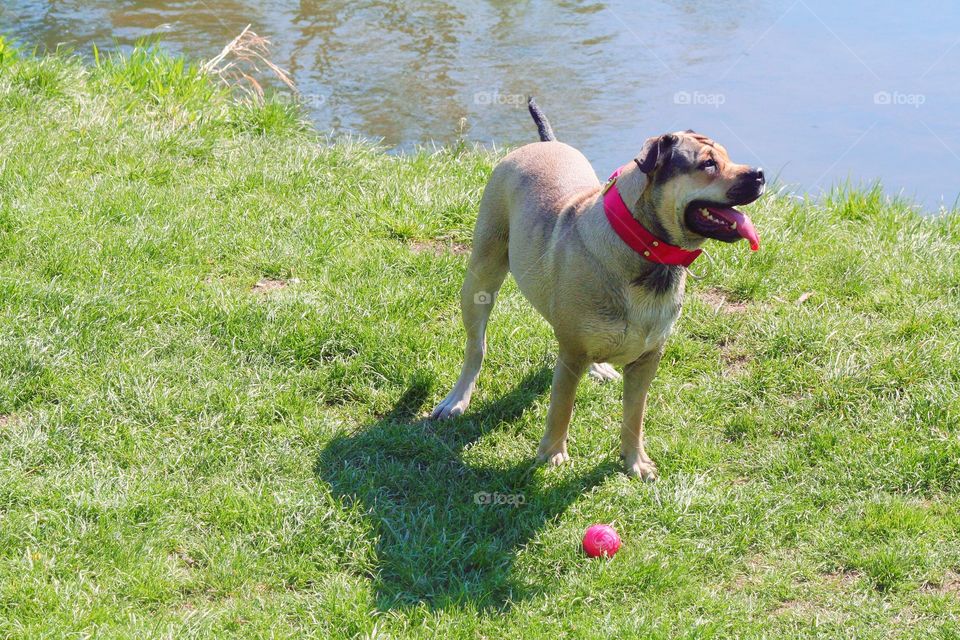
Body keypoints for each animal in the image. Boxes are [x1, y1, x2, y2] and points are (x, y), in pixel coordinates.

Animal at [430, 99, 764, 480]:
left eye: (727, 156)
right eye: (708, 164)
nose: (759, 173)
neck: (645, 249)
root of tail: (545, 144)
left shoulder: (647, 358)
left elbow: (635, 415)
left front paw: (635, 461)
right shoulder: (572, 354)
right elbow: (561, 407)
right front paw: (553, 455)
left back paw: (599, 368)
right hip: (481, 276)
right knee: (476, 347)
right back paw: (458, 399)